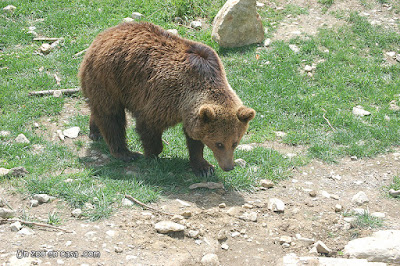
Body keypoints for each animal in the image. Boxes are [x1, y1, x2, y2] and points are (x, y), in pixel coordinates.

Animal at [78, 22, 255, 177]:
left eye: (235, 142)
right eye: (219, 143)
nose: (228, 167)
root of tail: (103, 35)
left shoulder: (190, 111)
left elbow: (194, 138)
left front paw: (204, 167)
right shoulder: (164, 96)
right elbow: (148, 125)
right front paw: (153, 155)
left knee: (100, 109)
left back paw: (95, 132)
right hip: (109, 77)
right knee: (111, 115)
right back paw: (125, 152)